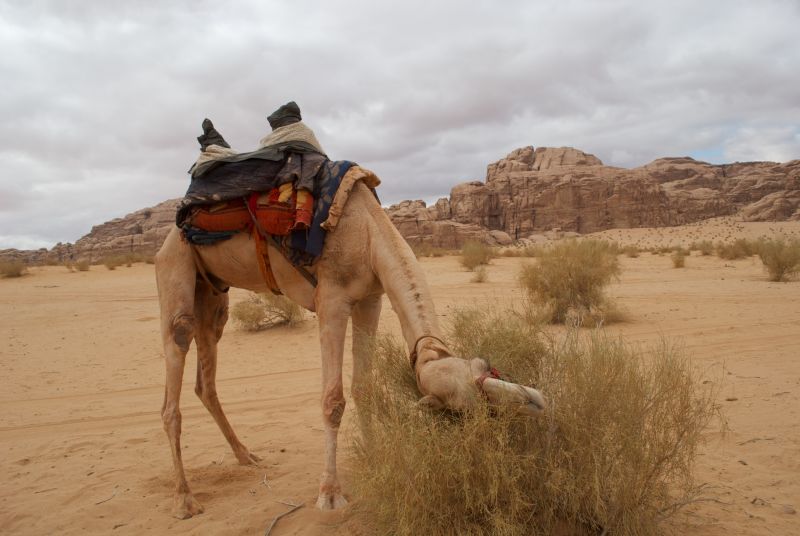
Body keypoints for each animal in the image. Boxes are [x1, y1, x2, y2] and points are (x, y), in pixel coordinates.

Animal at [153, 168, 548, 520]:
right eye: (459, 414)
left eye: (489, 403)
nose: (533, 405)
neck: (368, 232)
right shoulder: (332, 300)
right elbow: (333, 401)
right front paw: (330, 495)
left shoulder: (370, 299)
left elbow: (364, 387)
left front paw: (373, 457)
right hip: (175, 267)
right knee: (177, 355)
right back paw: (184, 501)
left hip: (212, 291)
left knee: (206, 375)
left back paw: (245, 455)